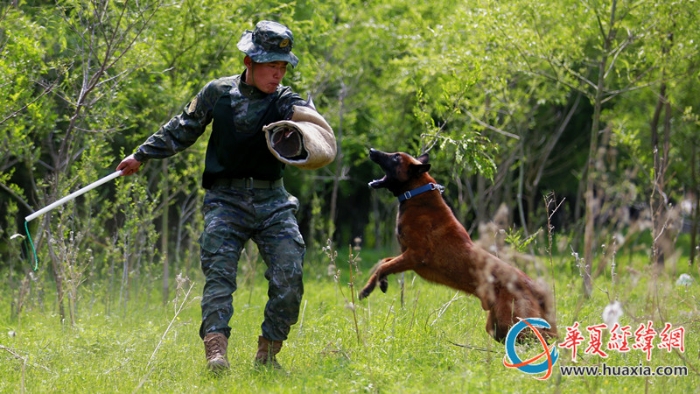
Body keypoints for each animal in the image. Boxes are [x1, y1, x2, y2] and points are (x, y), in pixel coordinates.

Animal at [358, 149, 556, 342]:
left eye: (396, 157)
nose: (372, 150)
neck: (416, 193)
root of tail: (535, 288)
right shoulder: (406, 256)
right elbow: (385, 262)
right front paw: (381, 283)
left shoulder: (414, 256)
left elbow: (383, 266)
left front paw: (366, 290)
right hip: (497, 326)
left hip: (511, 321)